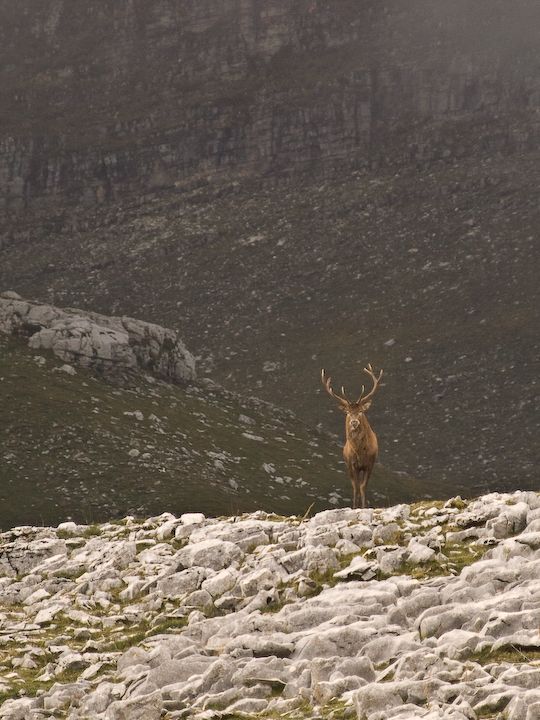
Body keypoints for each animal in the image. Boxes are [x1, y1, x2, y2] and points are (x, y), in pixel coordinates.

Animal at [320, 362, 384, 510]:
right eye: (348, 412)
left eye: (360, 411)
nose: (354, 422)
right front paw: (355, 507)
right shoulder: (351, 464)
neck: (360, 452)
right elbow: (355, 487)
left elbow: (363, 486)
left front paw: (364, 507)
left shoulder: (369, 463)